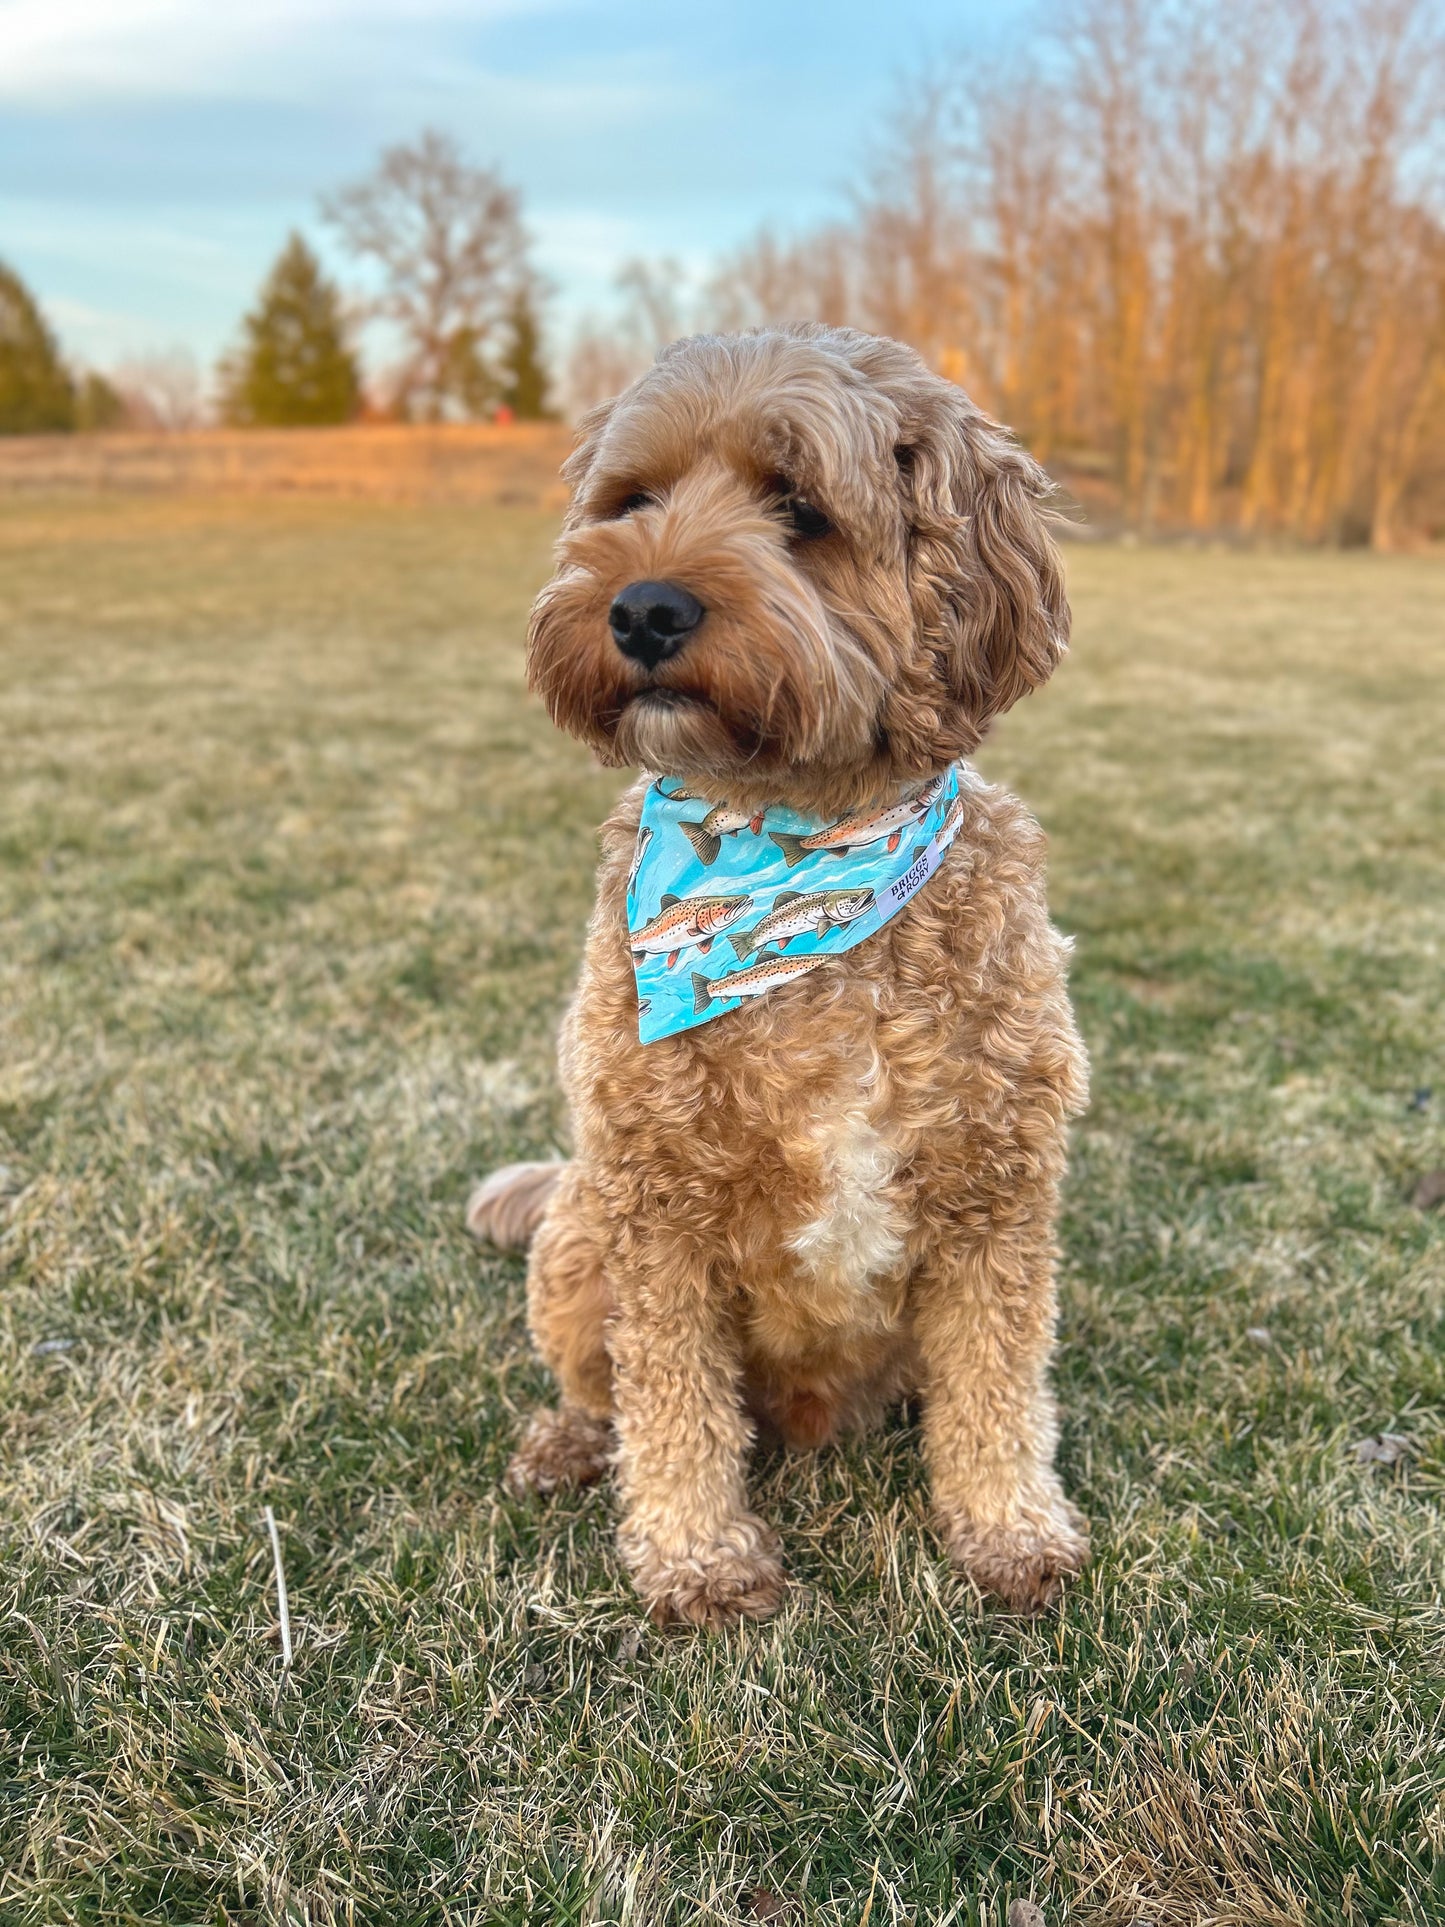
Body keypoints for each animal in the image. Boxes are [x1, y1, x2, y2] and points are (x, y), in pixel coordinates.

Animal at [470, 327, 1094, 1626]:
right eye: (631, 500)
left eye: (799, 507)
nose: (641, 606)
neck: (794, 844)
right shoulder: (653, 1202)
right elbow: (670, 1402)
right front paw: (696, 1559)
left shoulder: (996, 1192)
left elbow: (998, 1382)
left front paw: (1009, 1529)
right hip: (577, 1230)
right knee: (599, 1384)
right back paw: (567, 1443)